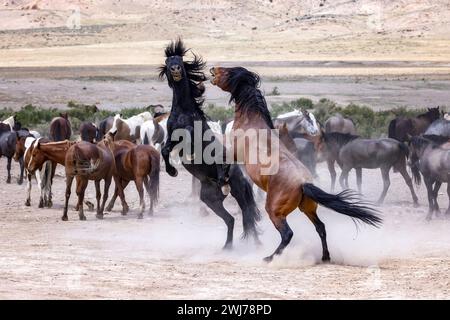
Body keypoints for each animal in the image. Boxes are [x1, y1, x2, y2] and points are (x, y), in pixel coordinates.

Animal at [160, 38, 262, 248]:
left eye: (179, 61)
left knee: (247, 214)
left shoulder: (190, 133)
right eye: (168, 62)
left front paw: (188, 157)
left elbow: (188, 137)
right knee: (232, 220)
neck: (183, 112)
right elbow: (165, 150)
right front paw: (172, 171)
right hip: (210, 199)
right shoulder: (171, 136)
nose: (175, 69)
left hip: (238, 191)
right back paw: (227, 247)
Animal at [209, 65, 382, 262]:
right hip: (308, 208)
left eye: (228, 72)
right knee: (320, 227)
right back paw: (325, 256)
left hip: (275, 211)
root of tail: (303, 183)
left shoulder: (234, 151)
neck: (251, 121)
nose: (213, 69)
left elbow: (225, 163)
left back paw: (270, 258)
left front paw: (223, 182)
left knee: (288, 234)